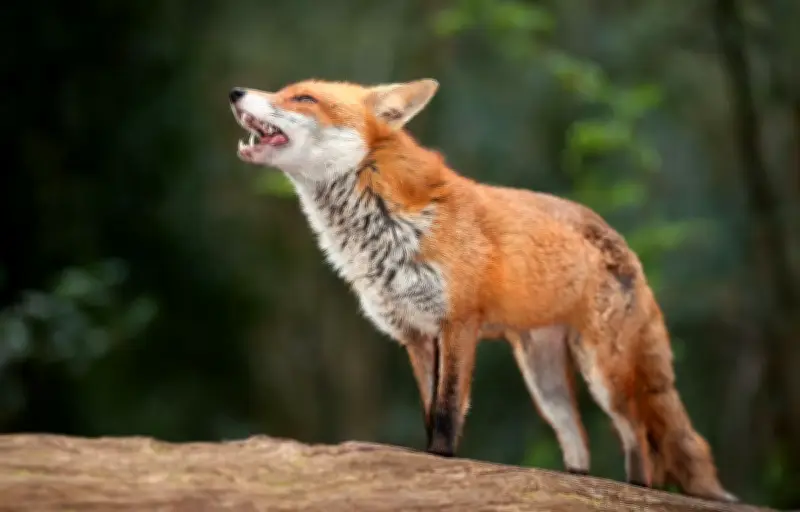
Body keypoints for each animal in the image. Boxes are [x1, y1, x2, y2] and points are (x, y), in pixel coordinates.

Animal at [227, 77, 737, 502]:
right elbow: (428, 408)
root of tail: (621, 242)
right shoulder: (415, 334)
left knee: (638, 437)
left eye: (303, 97)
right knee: (579, 438)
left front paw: (442, 462)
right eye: (284, 89)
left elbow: (449, 409)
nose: (235, 92)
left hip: (603, 373)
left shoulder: (459, 324)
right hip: (543, 380)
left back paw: (636, 488)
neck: (386, 227)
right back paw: (575, 482)